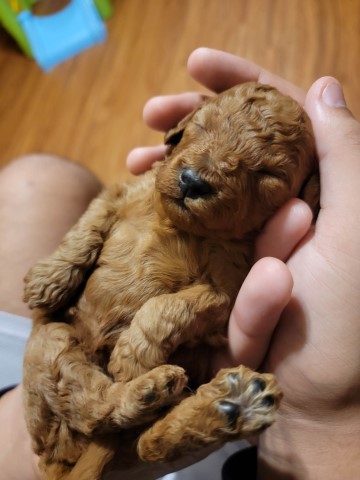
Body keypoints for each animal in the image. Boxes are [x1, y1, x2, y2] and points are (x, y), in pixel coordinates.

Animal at [23, 83, 318, 480]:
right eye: (203, 125)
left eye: (269, 174)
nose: (193, 182)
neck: (178, 223)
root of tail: (56, 460)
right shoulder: (123, 190)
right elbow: (88, 224)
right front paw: (48, 279)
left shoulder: (226, 291)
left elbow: (169, 306)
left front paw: (132, 357)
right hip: (51, 340)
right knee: (105, 418)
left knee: (126, 431)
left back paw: (213, 402)